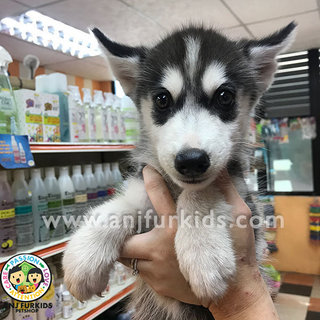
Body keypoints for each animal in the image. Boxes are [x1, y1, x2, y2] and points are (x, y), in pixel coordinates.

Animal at [63, 23, 296, 320]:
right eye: (162, 99)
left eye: (225, 96)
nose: (192, 160)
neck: (177, 188)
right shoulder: (145, 184)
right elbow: (120, 206)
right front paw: (84, 254)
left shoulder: (249, 208)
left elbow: (203, 191)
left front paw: (203, 250)